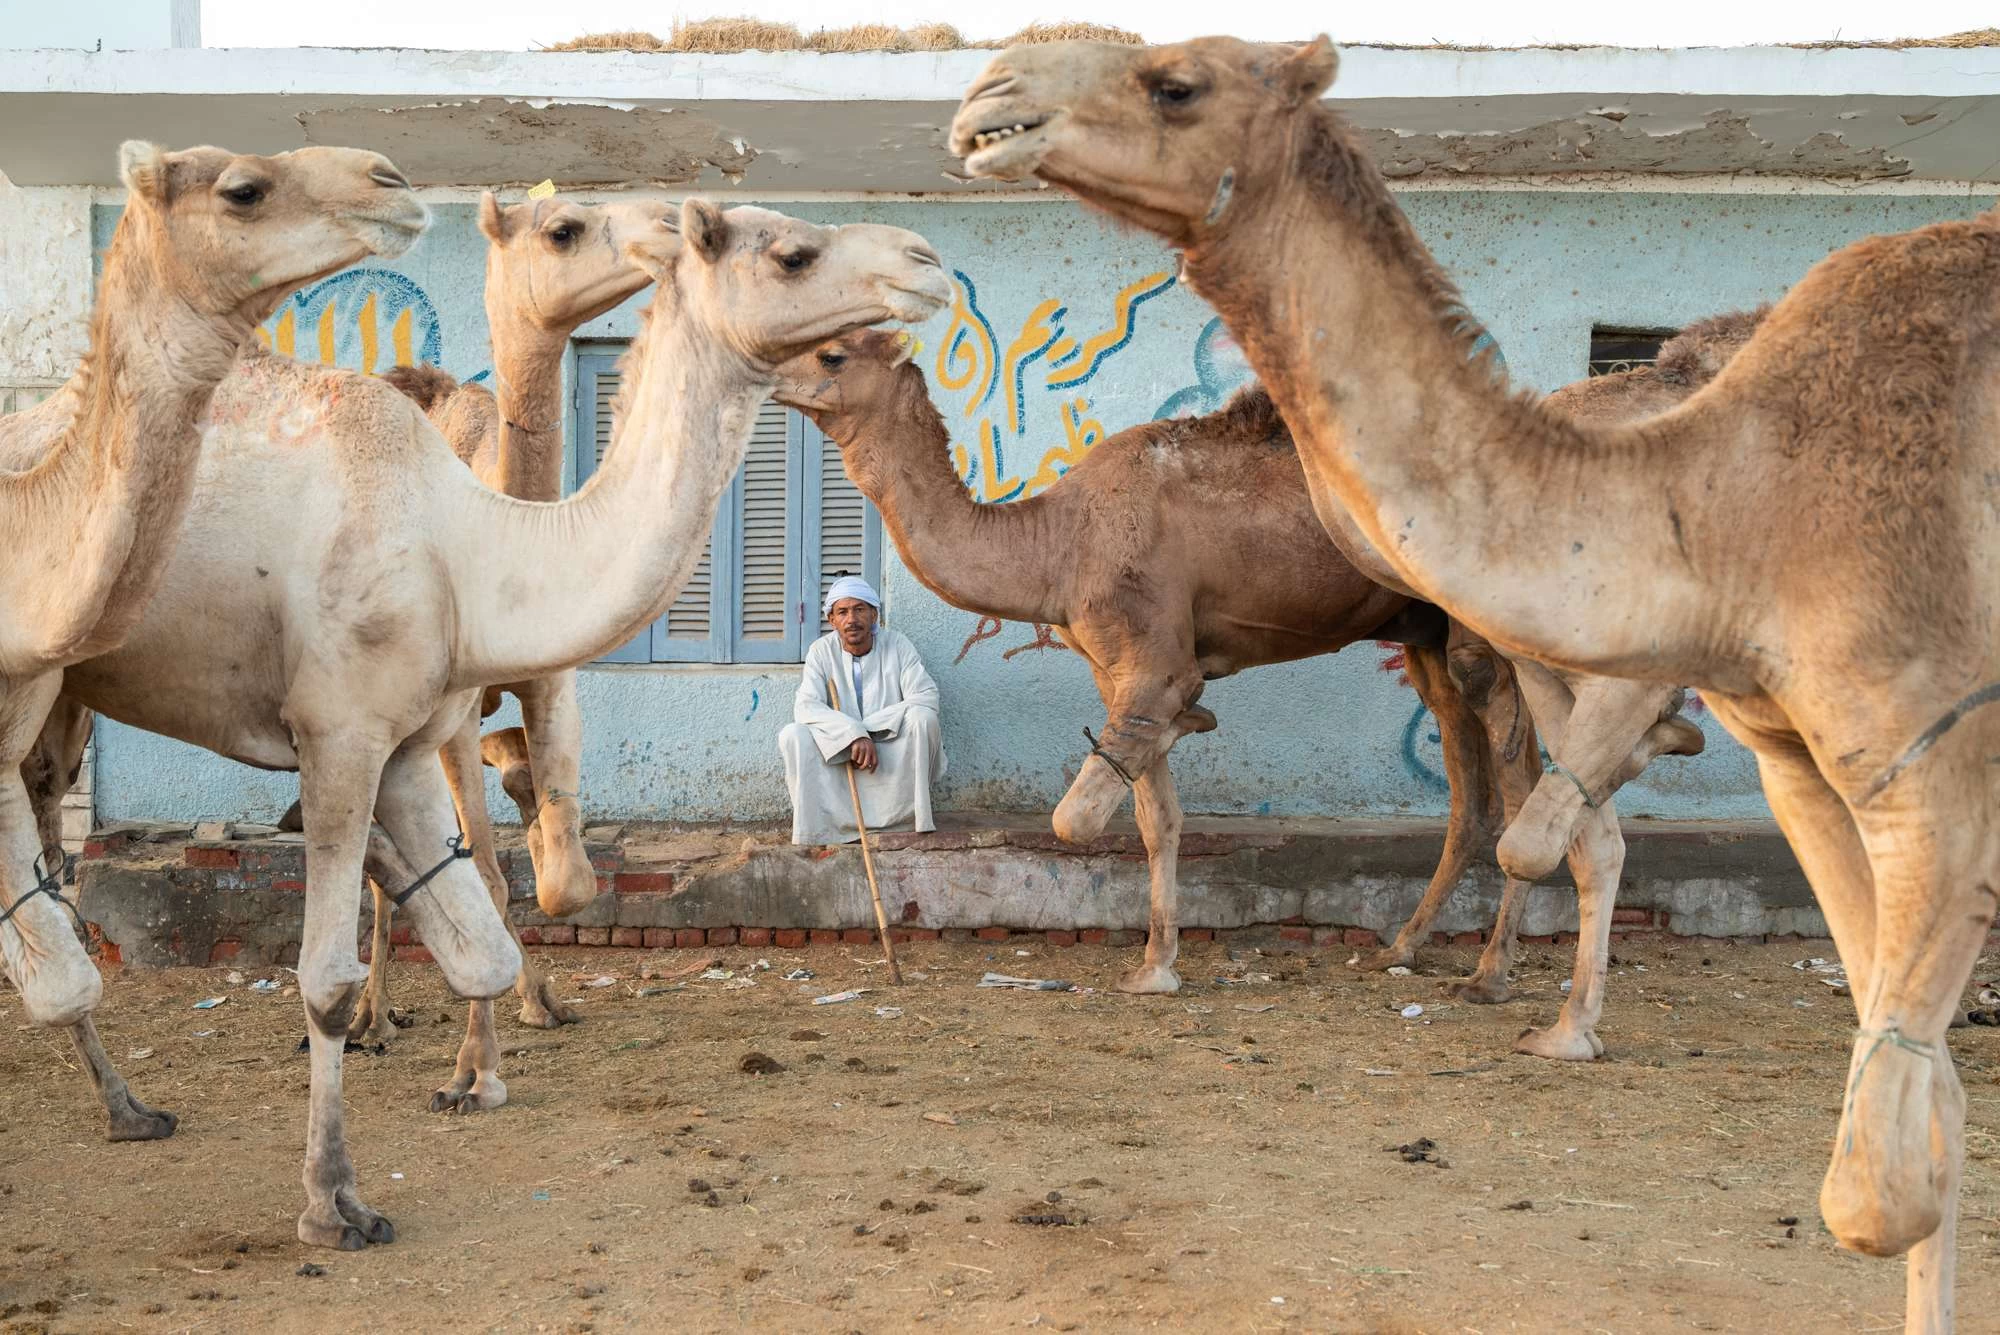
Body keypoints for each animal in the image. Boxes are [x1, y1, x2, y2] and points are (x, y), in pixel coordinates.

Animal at [23, 199, 949, 1247]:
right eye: (793, 253)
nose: (924, 260)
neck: (478, 543)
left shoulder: (466, 717)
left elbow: (521, 903)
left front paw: (493, 1045)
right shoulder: (366, 728)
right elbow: (388, 937)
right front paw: (361, 1174)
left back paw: (144, 1097)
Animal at [773, 327, 1529, 993]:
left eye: (832, 353)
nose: (769, 373)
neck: (1058, 541)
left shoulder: (1153, 659)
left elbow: (1075, 817)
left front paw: (1195, 720)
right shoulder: (1117, 669)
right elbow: (1154, 817)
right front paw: (1156, 967)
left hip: (1486, 615)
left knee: (1514, 758)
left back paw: (1491, 975)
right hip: (1424, 626)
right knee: (1468, 778)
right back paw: (1406, 946)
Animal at [952, 33, 2000, 1330]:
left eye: (1175, 83)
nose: (986, 98)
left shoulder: (1924, 750)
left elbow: (1881, 1172)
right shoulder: (1795, 760)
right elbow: (1915, 1101)